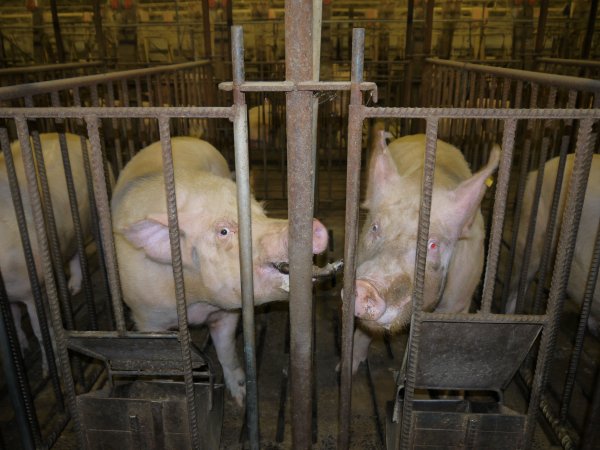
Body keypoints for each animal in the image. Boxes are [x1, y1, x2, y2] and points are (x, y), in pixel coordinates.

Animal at [1, 134, 93, 372]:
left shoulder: (36, 285)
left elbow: (42, 331)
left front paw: (51, 371)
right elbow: (15, 322)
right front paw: (23, 352)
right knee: (74, 251)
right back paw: (72, 289)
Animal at [112, 136, 328, 404]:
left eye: (261, 214)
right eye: (223, 231)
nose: (316, 226)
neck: (196, 299)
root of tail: (185, 138)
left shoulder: (226, 312)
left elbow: (226, 350)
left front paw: (241, 396)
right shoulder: (146, 318)